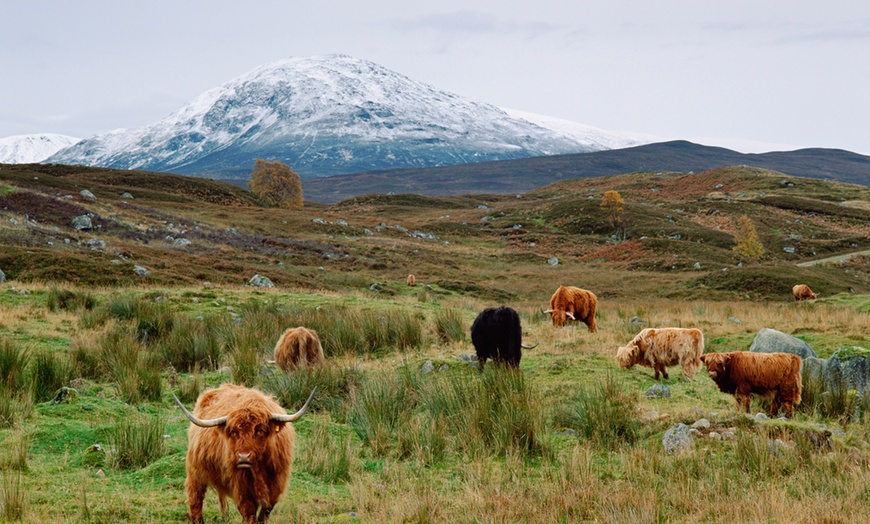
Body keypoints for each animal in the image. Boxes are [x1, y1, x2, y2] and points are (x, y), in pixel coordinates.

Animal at [174, 380, 316, 524]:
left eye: (260, 430)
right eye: (233, 432)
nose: (243, 457)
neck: (259, 469)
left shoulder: (276, 485)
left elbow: (265, 511)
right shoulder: (241, 488)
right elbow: (249, 512)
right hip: (195, 470)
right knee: (195, 497)